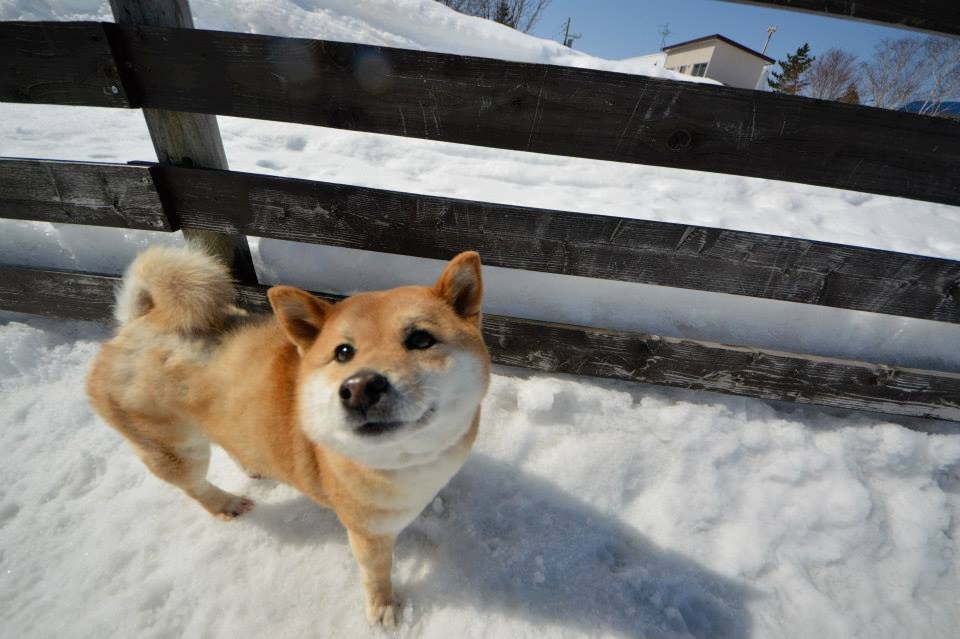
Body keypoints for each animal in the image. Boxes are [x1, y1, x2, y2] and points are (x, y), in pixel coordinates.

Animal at [86, 245, 490, 626]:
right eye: (343, 352)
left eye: (421, 339)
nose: (359, 388)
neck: (405, 458)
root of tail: (134, 325)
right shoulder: (366, 533)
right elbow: (377, 575)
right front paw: (384, 610)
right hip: (178, 451)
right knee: (194, 486)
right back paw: (225, 503)